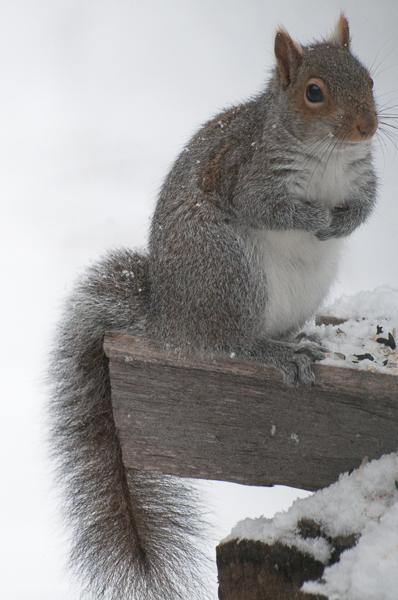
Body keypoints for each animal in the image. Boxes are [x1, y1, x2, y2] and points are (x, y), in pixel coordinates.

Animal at [50, 12, 380, 600]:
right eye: (314, 93)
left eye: (368, 79)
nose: (367, 128)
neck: (330, 158)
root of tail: (170, 321)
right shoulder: (249, 173)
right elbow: (267, 206)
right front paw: (316, 219)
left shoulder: (363, 174)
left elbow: (367, 201)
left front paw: (343, 220)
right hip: (229, 270)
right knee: (228, 345)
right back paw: (274, 354)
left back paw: (302, 338)